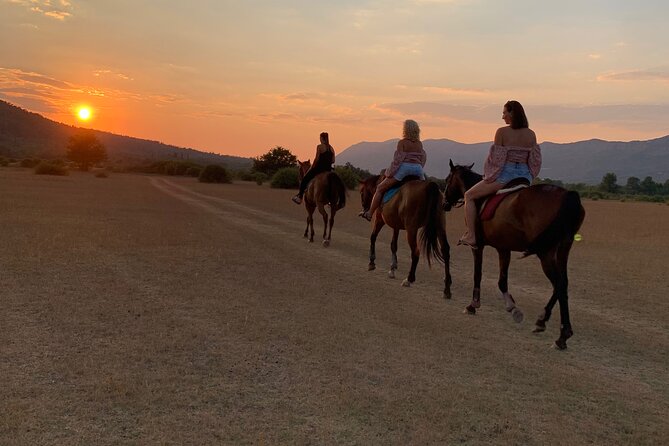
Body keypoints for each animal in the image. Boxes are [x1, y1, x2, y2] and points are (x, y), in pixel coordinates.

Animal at [444, 159, 584, 350]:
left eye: (447, 180)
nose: (444, 203)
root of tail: (567, 195)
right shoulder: (503, 248)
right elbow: (502, 281)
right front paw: (512, 307)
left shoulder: (478, 246)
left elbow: (478, 275)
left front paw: (473, 305)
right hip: (562, 250)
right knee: (562, 284)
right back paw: (544, 322)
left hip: (546, 254)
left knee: (560, 284)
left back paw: (561, 335)